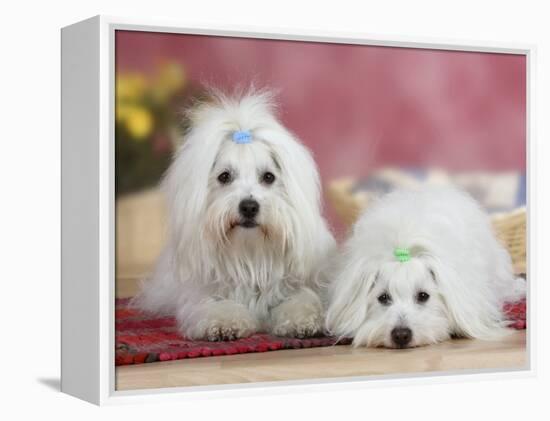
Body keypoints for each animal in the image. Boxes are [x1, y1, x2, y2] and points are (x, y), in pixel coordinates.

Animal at [133, 89, 336, 342]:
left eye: (268, 177)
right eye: (224, 176)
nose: (249, 206)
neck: (250, 255)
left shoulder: (296, 285)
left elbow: (302, 300)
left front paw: (302, 321)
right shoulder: (203, 295)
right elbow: (218, 307)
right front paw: (224, 324)